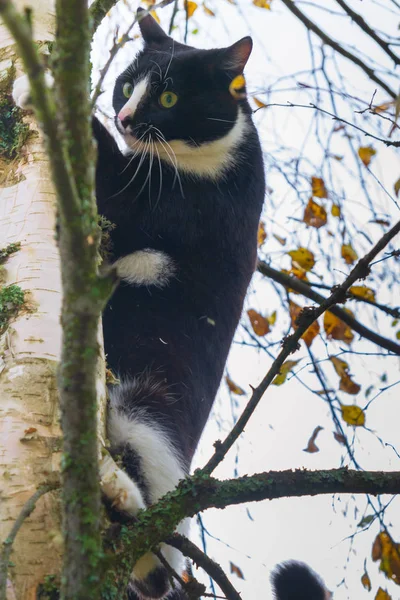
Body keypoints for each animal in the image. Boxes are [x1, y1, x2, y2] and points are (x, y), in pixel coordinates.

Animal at [13, 9, 332, 600]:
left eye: (167, 98)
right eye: (124, 85)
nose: (123, 115)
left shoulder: (160, 206)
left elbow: (104, 172)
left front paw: (41, 85)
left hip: (147, 411)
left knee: (150, 525)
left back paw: (118, 494)